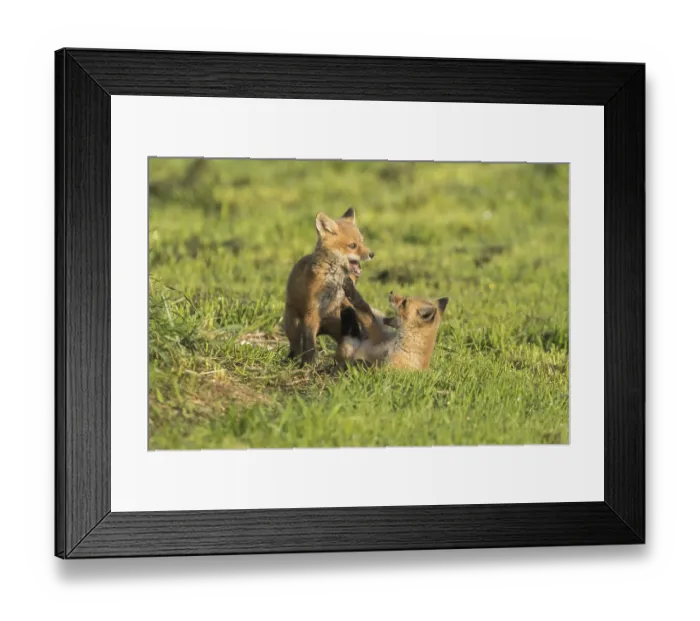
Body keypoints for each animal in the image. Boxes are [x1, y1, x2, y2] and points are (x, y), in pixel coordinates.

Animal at [284, 207, 374, 364]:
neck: (334, 279)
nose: (372, 254)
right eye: (352, 246)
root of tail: (323, 326)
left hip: (338, 325)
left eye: (363, 242)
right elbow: (309, 343)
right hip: (293, 325)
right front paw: (309, 363)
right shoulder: (312, 310)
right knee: (297, 345)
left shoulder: (344, 300)